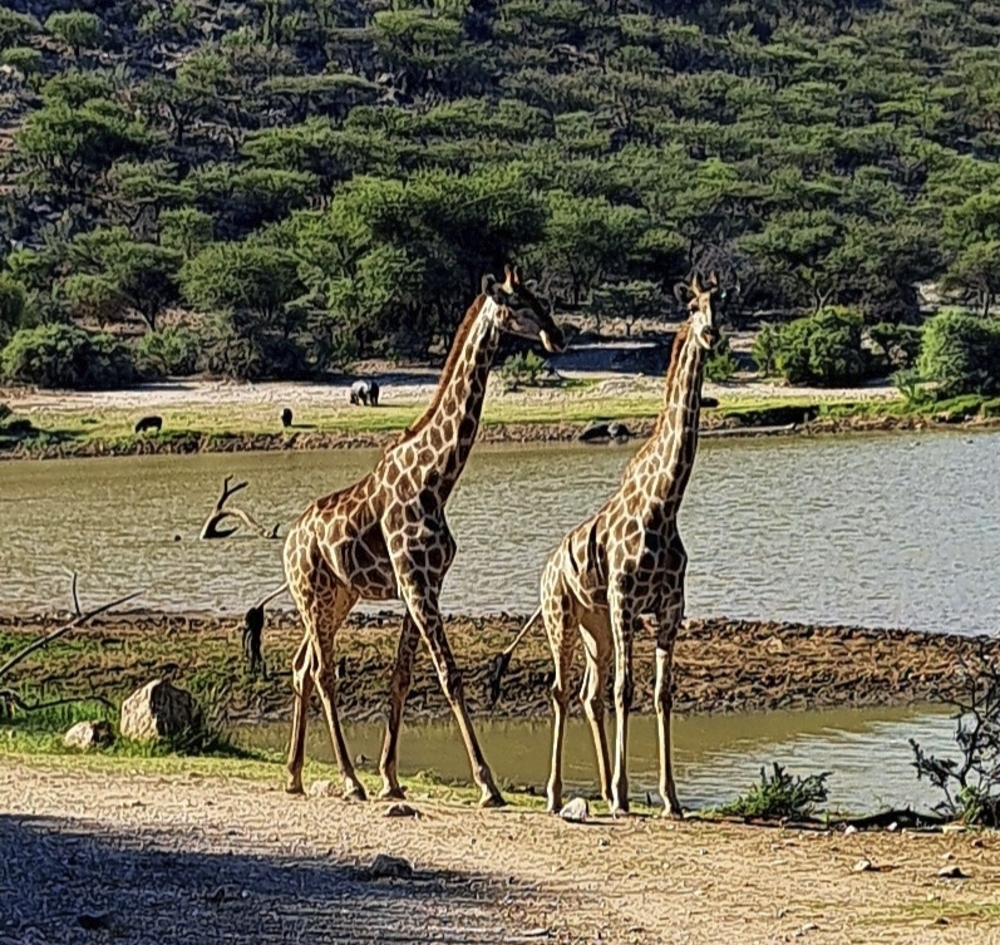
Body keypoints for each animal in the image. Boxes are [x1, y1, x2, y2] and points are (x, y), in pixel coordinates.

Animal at [284, 266, 564, 804]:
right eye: (518, 303)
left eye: (540, 297)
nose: (557, 336)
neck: (435, 480)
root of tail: (288, 542)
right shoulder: (416, 585)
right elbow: (449, 676)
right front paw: (487, 784)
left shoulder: (426, 585)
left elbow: (402, 676)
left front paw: (392, 778)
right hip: (312, 595)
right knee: (324, 674)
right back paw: (348, 779)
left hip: (337, 598)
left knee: (302, 667)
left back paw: (293, 775)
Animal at [490, 270, 720, 816]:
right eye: (693, 307)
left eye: (720, 304)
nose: (712, 335)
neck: (664, 504)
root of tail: (546, 569)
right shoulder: (623, 601)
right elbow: (626, 691)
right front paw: (622, 793)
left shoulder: (669, 607)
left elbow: (661, 693)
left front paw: (668, 799)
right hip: (562, 617)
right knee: (561, 690)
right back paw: (560, 794)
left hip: (595, 627)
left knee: (589, 693)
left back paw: (601, 788)